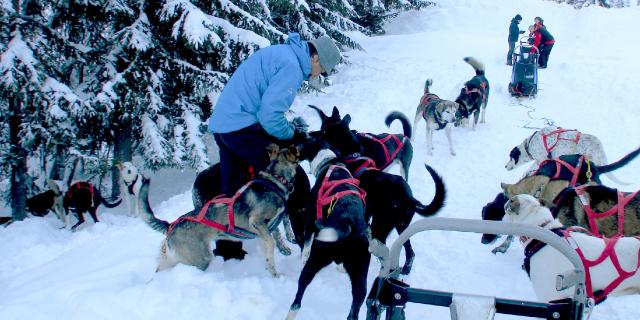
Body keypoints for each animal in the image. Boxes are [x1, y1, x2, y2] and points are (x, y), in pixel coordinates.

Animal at [138, 144, 298, 276]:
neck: (275, 181)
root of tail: (171, 225)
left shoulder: (261, 233)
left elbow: (269, 252)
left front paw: (272, 271)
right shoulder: (257, 222)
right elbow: (271, 244)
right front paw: (277, 273)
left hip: (174, 258)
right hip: (200, 259)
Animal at [286, 136, 370, 320]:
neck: (329, 162)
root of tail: (348, 226)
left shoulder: (310, 221)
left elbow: (305, 247)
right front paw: (340, 267)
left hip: (315, 259)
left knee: (298, 297)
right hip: (361, 279)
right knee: (354, 311)